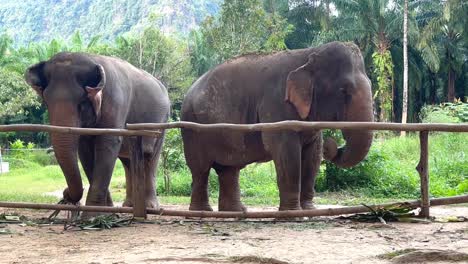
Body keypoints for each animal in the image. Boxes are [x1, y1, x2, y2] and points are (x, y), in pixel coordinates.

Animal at [24, 52, 171, 211]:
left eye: (82, 103)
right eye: (46, 102)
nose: (65, 194)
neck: (92, 58)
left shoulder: (116, 101)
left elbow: (108, 142)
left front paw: (93, 214)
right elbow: (85, 152)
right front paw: (106, 210)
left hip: (162, 122)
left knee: (149, 156)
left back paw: (150, 207)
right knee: (128, 161)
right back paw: (128, 206)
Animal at [181, 41, 374, 212]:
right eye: (344, 90)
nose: (332, 144)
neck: (308, 54)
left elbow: (313, 156)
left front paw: (308, 209)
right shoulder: (276, 104)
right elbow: (286, 153)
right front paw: (293, 213)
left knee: (229, 169)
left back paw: (236, 211)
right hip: (191, 126)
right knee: (200, 169)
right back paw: (202, 211)